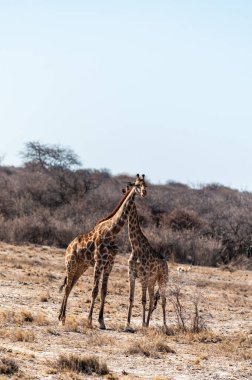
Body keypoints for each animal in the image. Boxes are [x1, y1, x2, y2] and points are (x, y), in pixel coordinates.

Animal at [58, 174, 147, 328]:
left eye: (146, 184)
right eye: (137, 185)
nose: (144, 192)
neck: (112, 232)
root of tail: (69, 246)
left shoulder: (109, 264)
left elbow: (104, 291)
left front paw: (101, 321)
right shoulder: (99, 262)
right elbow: (94, 291)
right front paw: (89, 320)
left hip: (81, 266)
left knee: (70, 286)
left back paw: (61, 317)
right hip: (71, 264)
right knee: (67, 286)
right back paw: (62, 318)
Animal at [125, 183, 168, 328]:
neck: (135, 247)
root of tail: (166, 263)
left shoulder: (143, 277)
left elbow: (142, 300)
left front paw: (142, 323)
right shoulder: (132, 275)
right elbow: (131, 298)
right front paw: (128, 323)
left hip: (162, 279)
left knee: (163, 300)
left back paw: (164, 325)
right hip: (151, 281)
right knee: (151, 299)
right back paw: (148, 323)